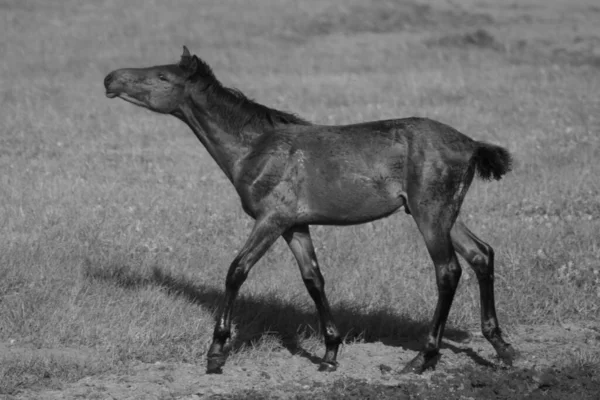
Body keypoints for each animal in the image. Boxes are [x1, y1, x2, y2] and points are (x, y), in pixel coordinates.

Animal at [103, 47, 516, 376]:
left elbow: (237, 271)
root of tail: (471, 143)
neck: (257, 149)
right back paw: (502, 347)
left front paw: (216, 352)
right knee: (482, 255)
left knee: (447, 271)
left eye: (162, 76)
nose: (109, 78)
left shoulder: (272, 220)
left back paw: (423, 357)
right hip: (442, 215)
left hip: (430, 214)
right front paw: (331, 351)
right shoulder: (295, 226)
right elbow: (314, 280)